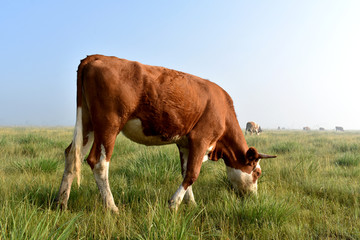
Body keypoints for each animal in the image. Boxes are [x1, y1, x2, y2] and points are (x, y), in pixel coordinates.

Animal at [55, 55, 276, 213]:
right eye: (257, 172)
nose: (253, 198)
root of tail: (97, 56)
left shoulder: (185, 143)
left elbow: (185, 171)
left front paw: (191, 203)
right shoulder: (201, 138)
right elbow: (192, 173)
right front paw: (174, 203)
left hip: (88, 123)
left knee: (71, 154)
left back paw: (61, 202)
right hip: (108, 124)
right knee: (98, 162)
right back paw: (112, 207)